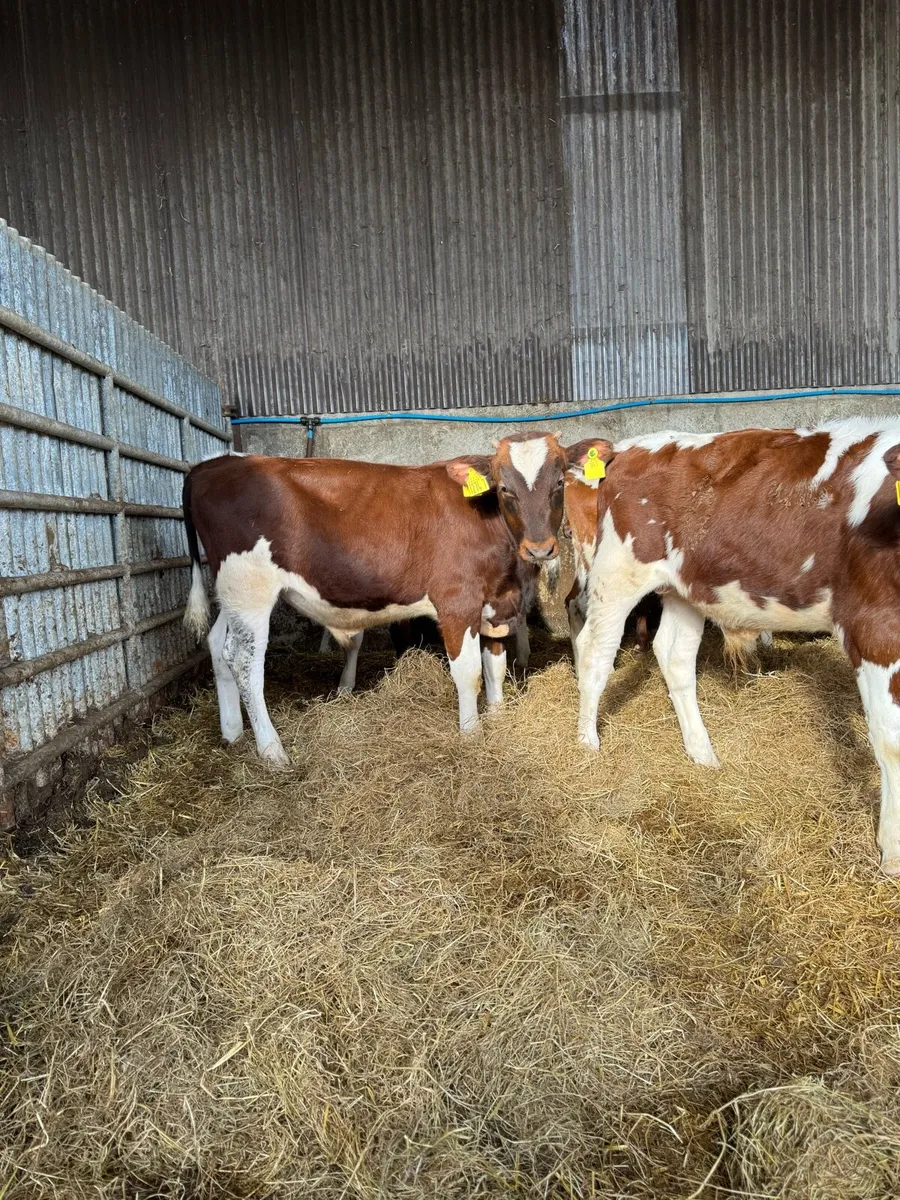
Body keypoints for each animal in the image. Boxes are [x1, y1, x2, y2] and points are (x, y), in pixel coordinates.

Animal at [182, 433, 593, 766]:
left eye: (560, 481)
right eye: (505, 487)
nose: (540, 548)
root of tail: (212, 464)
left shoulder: (496, 603)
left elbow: (495, 666)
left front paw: (497, 718)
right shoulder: (457, 601)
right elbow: (469, 673)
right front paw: (471, 735)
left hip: (231, 592)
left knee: (218, 644)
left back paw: (232, 731)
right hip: (249, 587)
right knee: (244, 661)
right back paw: (272, 751)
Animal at [574, 419, 900, 875]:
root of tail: (630, 447)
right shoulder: (875, 627)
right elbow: (891, 741)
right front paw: (892, 851)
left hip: (685, 588)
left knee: (674, 656)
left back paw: (702, 753)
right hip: (618, 574)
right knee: (595, 652)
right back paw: (587, 743)